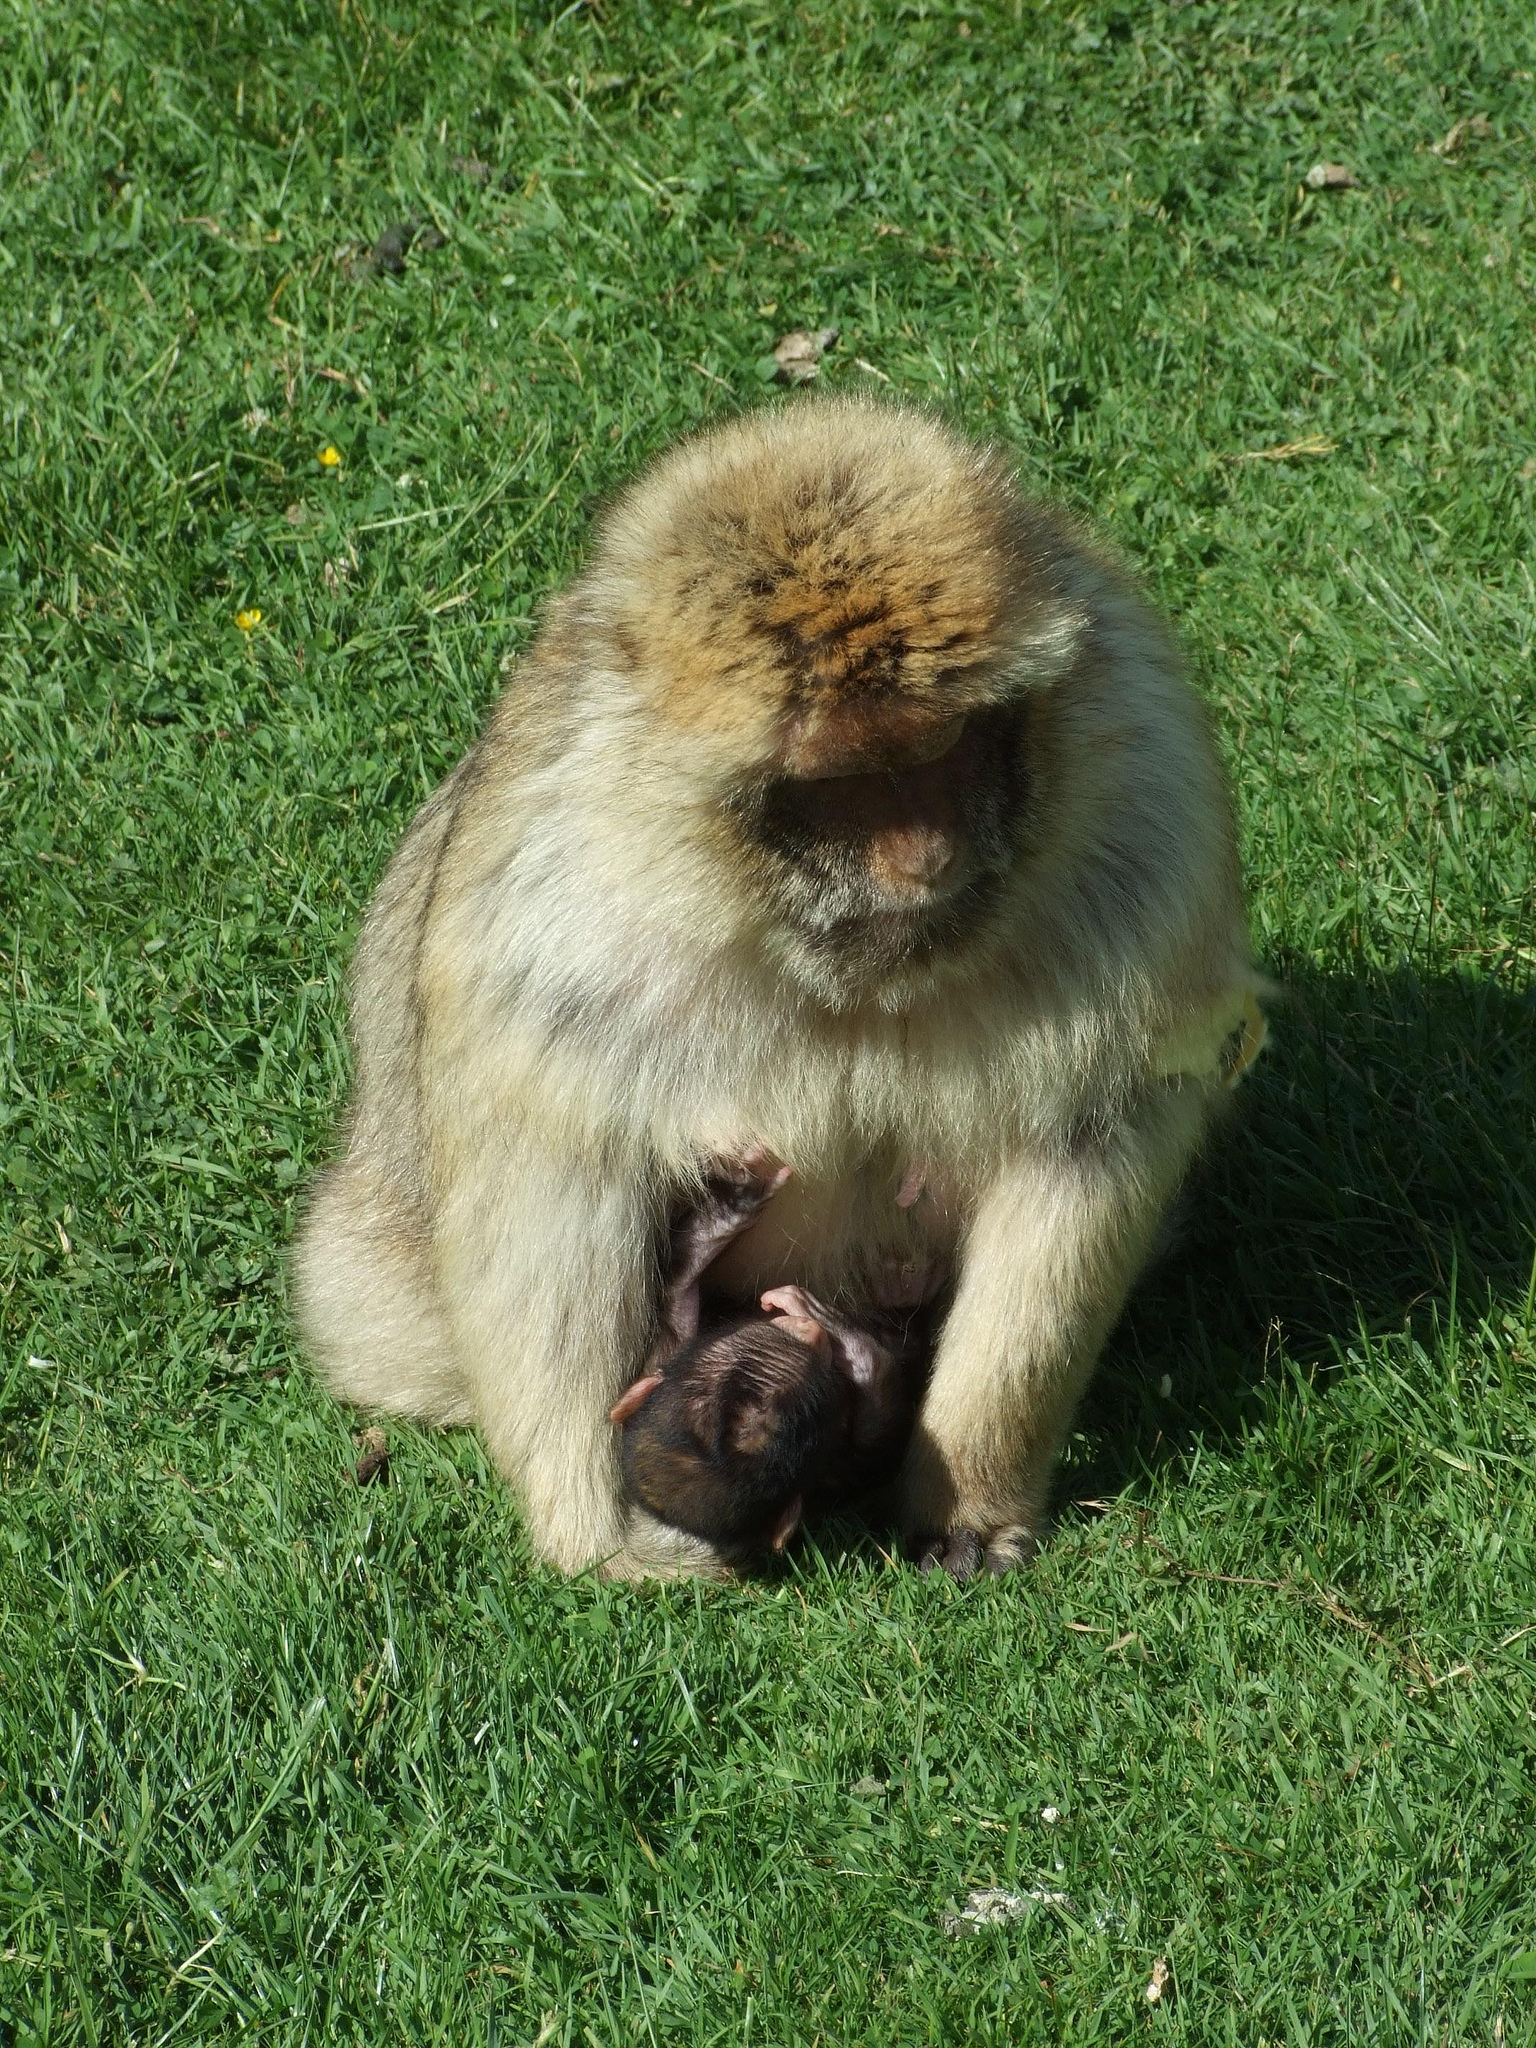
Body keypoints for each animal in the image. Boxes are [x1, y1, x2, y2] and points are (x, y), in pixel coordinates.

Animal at [609, 1154, 940, 1555]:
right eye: (822, 1388)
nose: (806, 1333)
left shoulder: (667, 1357)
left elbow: (675, 1319)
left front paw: (722, 1217)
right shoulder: (832, 1474)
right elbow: (879, 1446)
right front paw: (847, 1338)